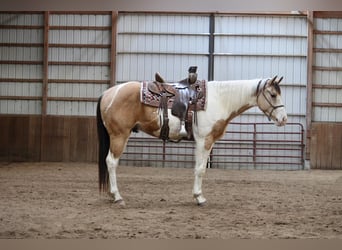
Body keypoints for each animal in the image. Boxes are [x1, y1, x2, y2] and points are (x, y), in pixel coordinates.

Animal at [97, 75, 288, 206]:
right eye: (272, 95)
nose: (284, 119)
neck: (219, 100)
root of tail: (108, 93)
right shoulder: (205, 140)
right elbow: (201, 170)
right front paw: (199, 197)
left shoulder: (202, 142)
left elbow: (198, 168)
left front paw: (197, 195)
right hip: (119, 135)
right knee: (111, 162)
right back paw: (117, 196)